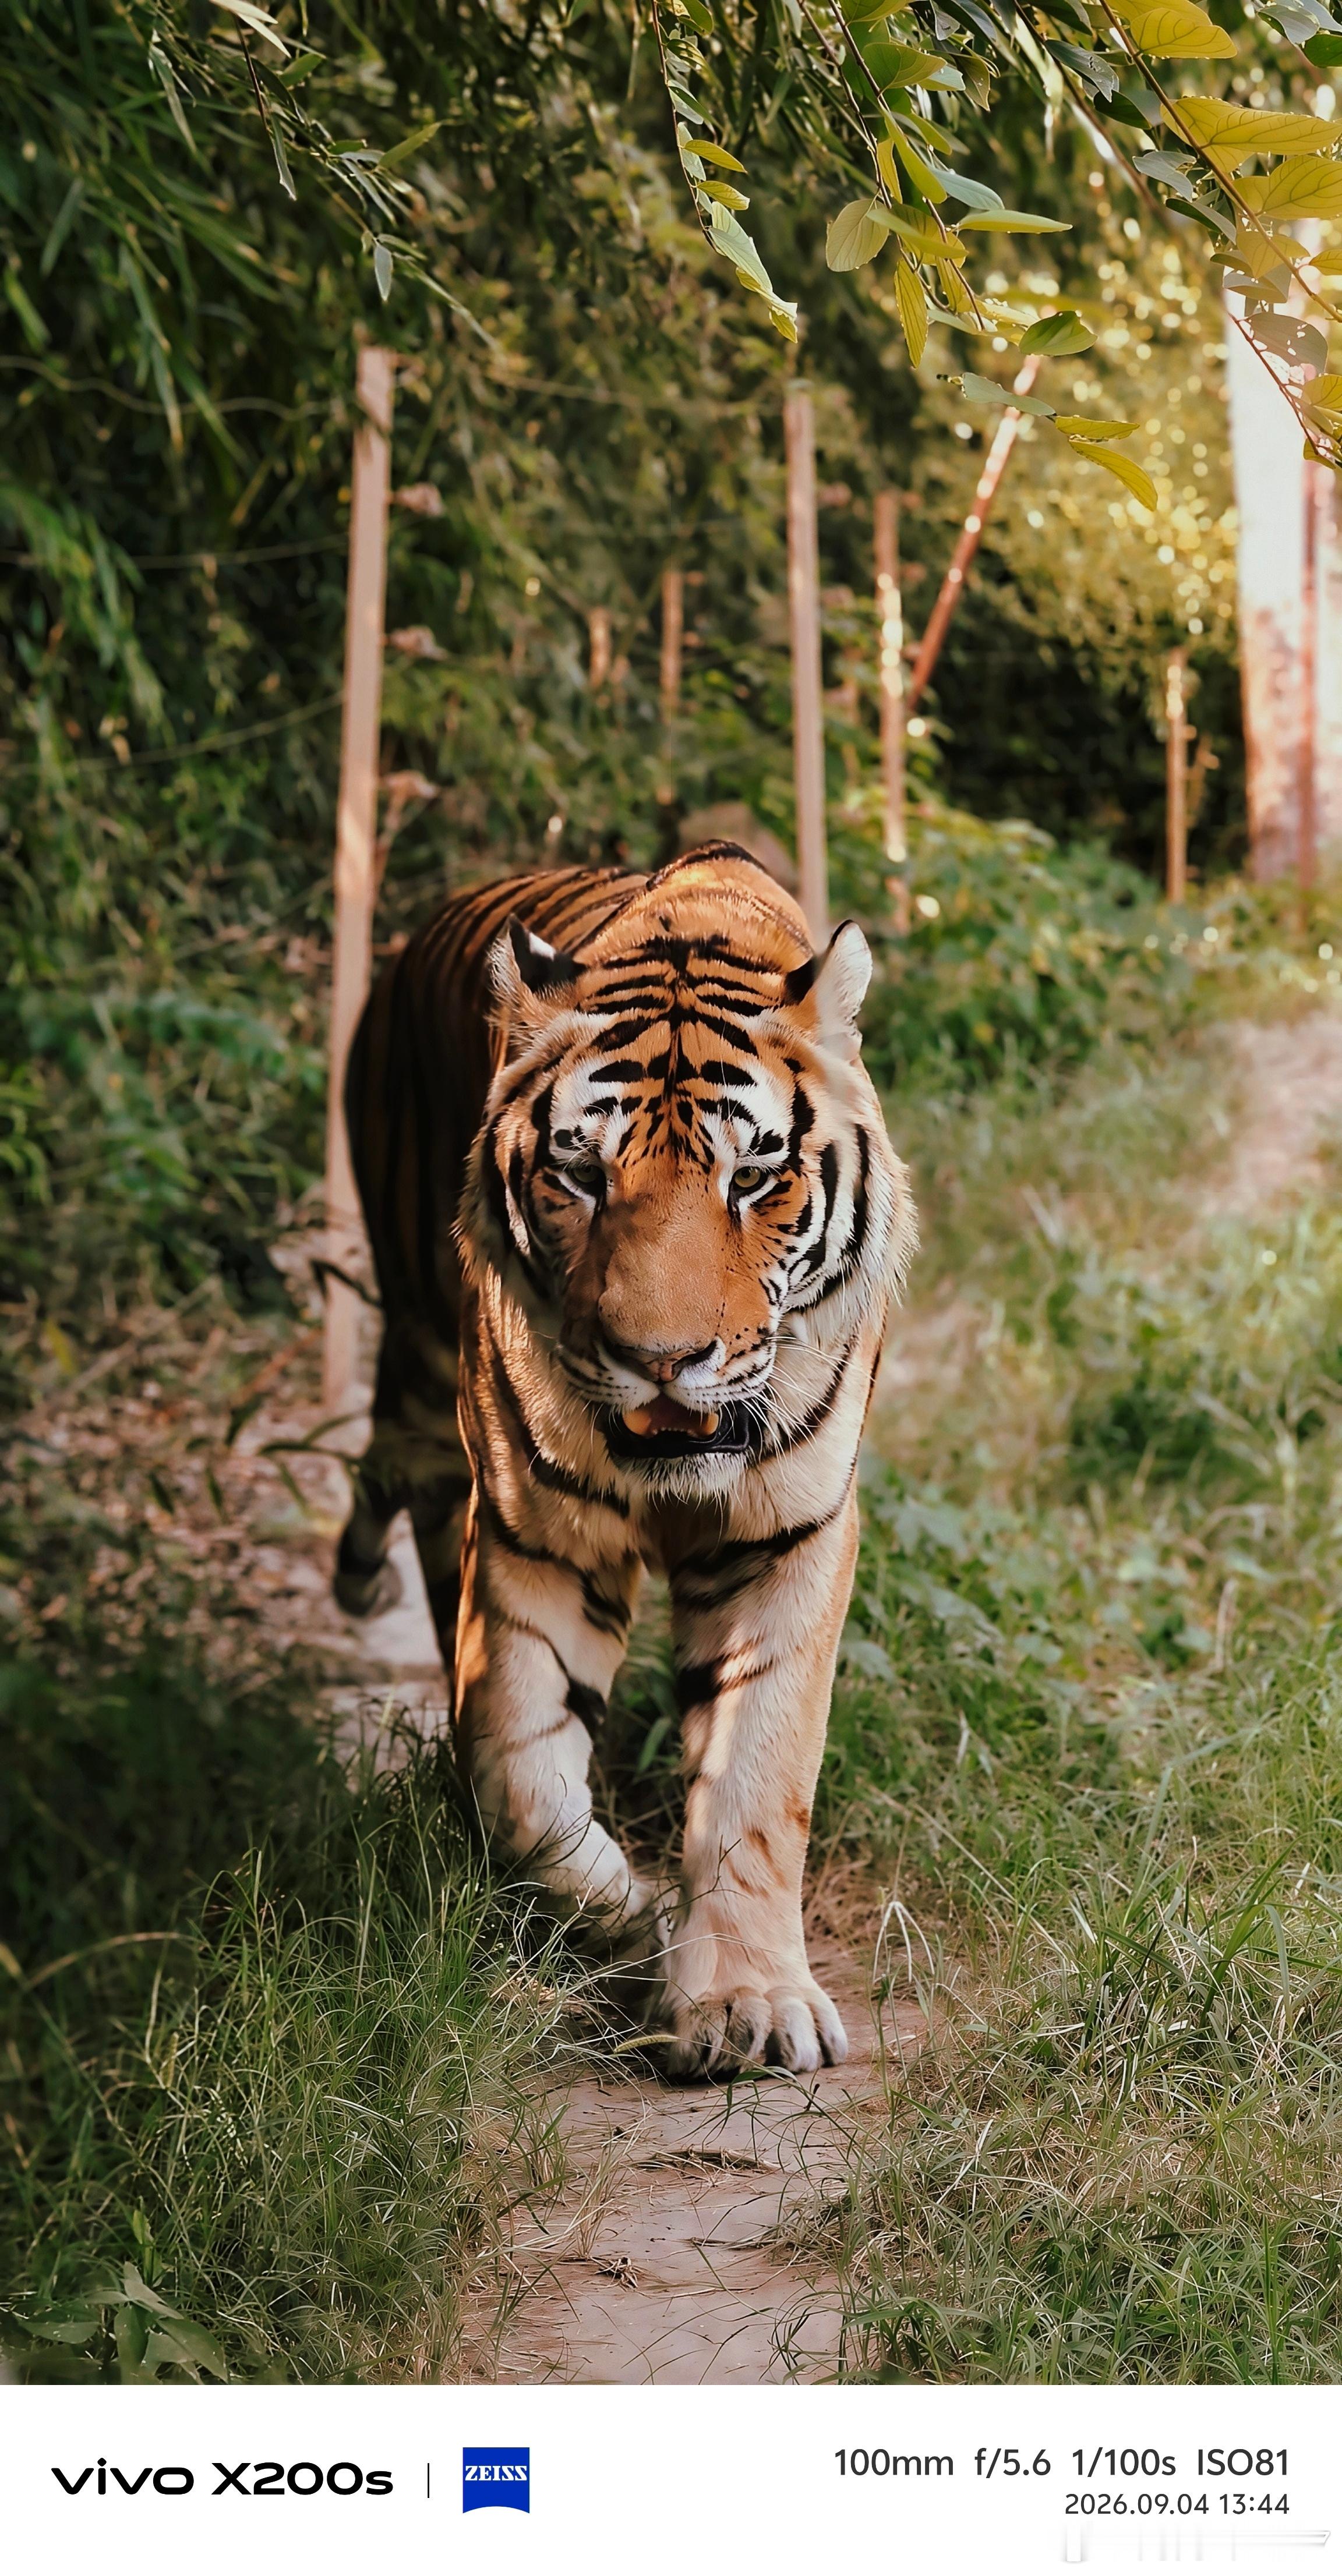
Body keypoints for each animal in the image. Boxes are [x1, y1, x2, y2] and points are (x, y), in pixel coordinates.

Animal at [337, 842, 917, 2078]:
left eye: (752, 1178)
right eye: (582, 1176)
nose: (659, 1361)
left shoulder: (787, 1534)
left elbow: (757, 1775)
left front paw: (745, 2001)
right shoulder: (533, 1533)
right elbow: (518, 1772)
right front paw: (633, 1925)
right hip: (419, 1331)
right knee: (402, 1472)